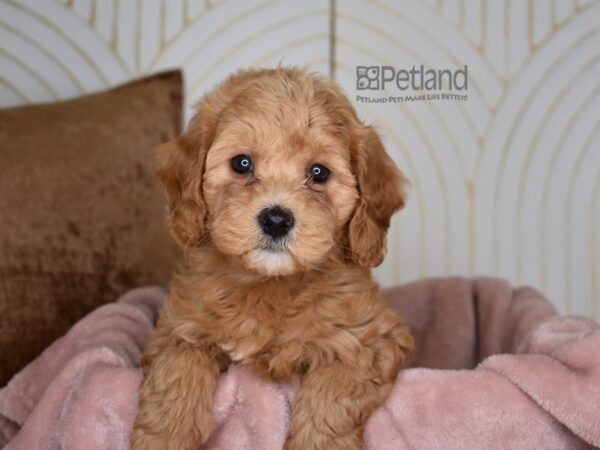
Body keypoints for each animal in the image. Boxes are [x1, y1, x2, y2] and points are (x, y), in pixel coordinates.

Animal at [131, 67, 412, 450]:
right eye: (242, 163)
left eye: (319, 172)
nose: (276, 220)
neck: (270, 285)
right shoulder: (177, 327)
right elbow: (175, 370)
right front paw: (164, 437)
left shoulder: (370, 340)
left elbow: (332, 392)